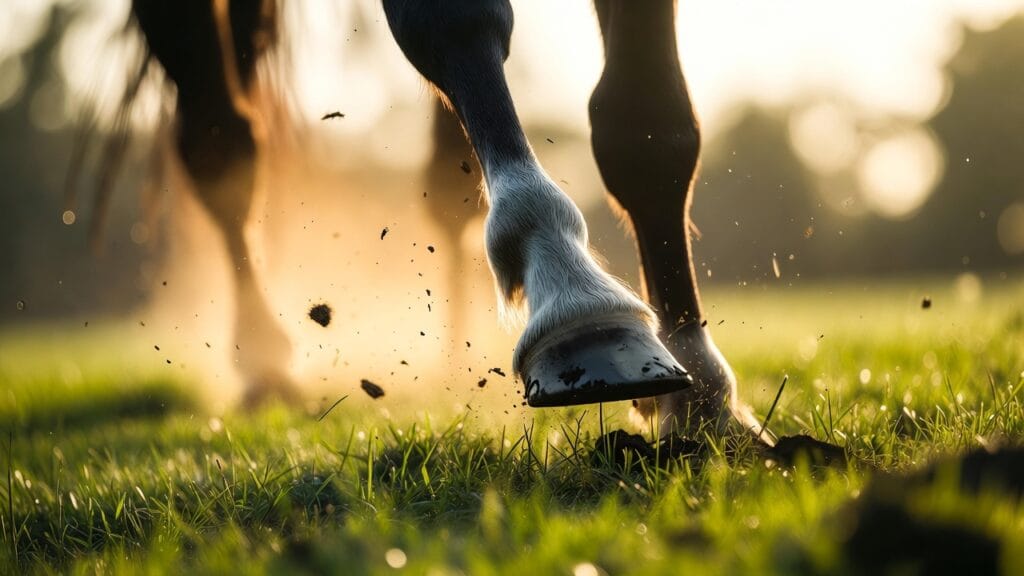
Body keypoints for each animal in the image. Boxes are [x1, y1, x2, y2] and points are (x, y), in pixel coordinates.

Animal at [107, 0, 756, 436]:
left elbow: (645, 119)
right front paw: (565, 276)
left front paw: (698, 384)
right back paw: (262, 359)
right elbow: (453, 19)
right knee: (220, 142)